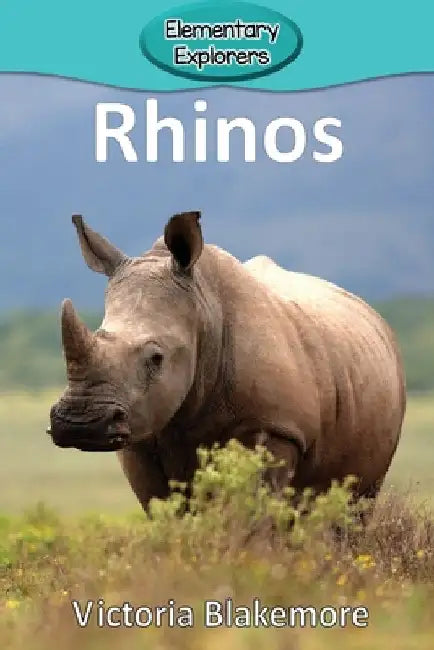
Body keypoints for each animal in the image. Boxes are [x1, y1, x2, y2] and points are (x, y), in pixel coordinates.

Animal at [48, 211, 406, 509]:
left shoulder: (276, 428)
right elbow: (167, 510)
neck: (203, 307)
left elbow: (253, 513)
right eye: (98, 334)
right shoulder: (140, 434)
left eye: (156, 358)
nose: (80, 423)